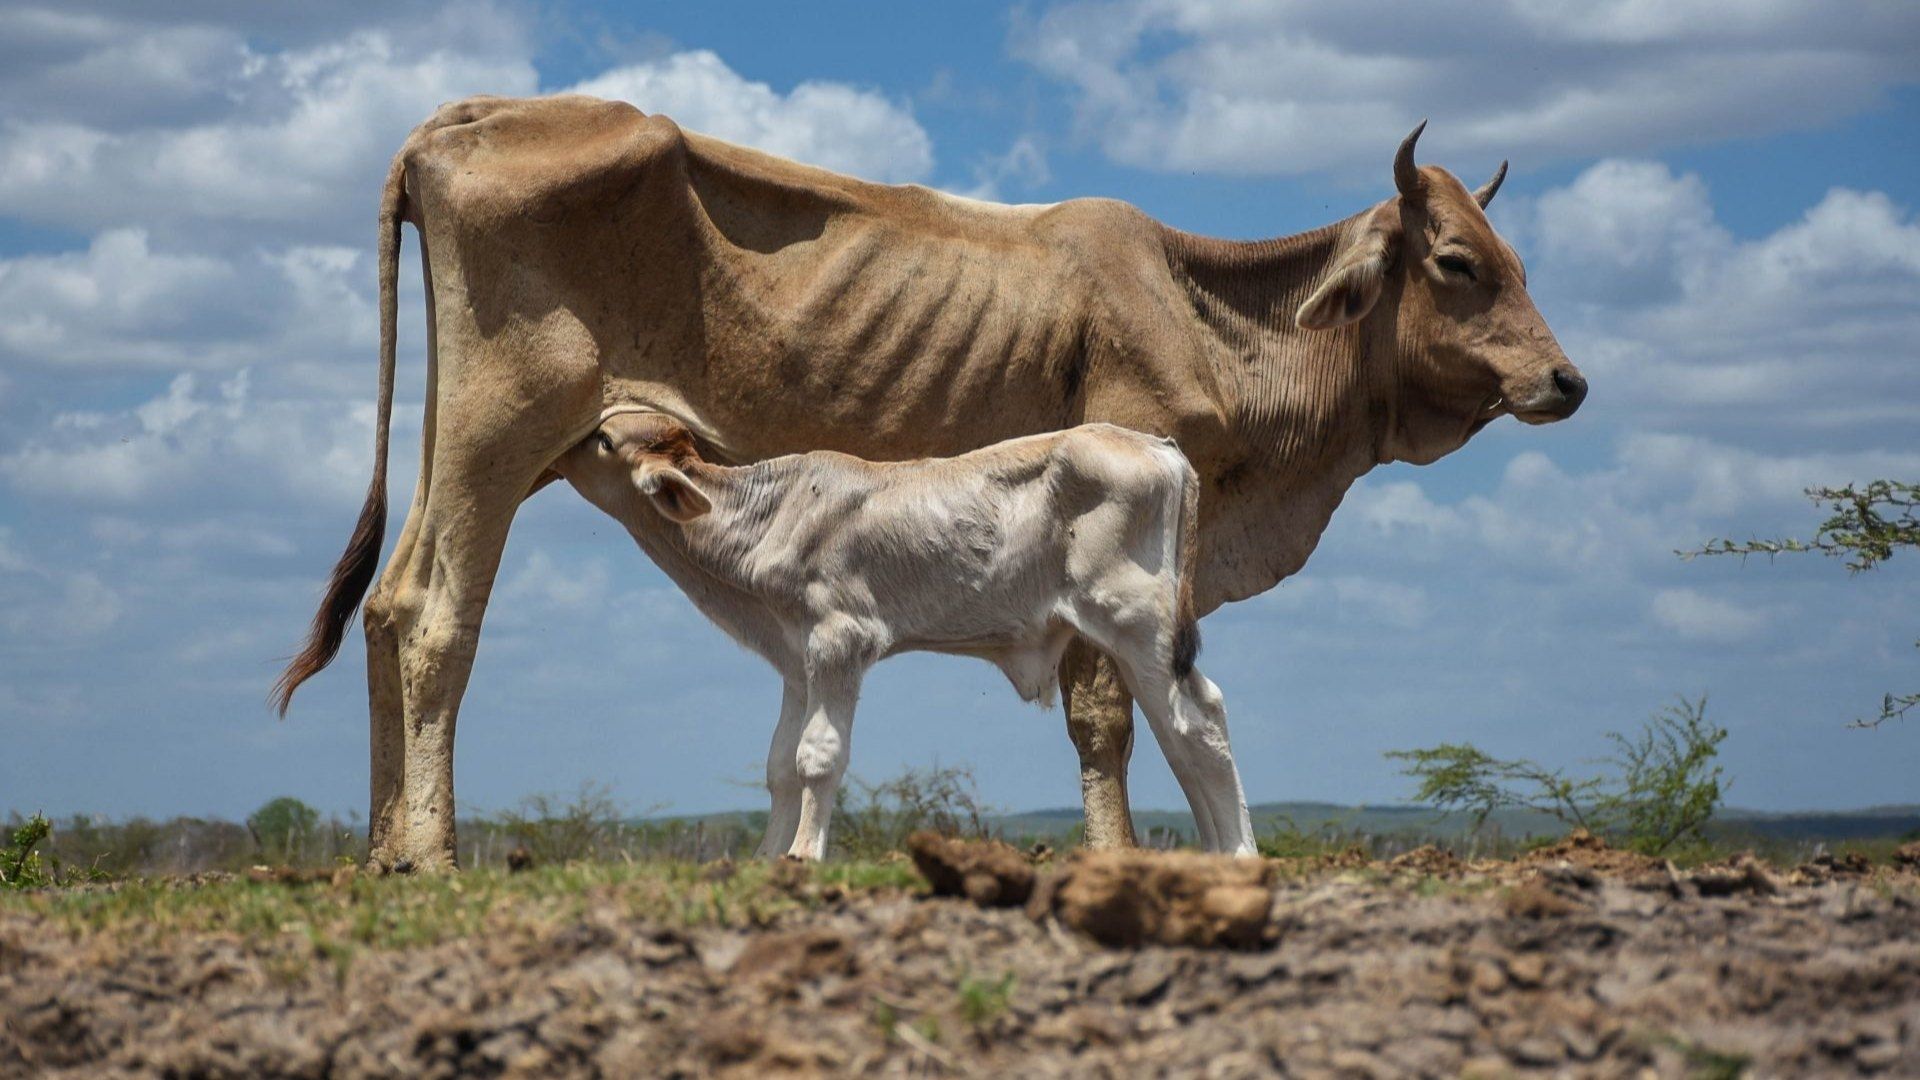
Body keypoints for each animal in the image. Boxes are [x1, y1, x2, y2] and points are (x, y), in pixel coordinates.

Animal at [549, 407, 1259, 853]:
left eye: (604, 441)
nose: (555, 451)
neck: (768, 517)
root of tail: (1158, 446)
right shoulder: (797, 659)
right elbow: (780, 766)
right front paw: (768, 859)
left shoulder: (841, 639)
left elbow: (818, 757)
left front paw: (802, 857)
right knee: (1179, 731)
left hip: (1135, 620)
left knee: (1197, 722)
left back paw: (1239, 854)